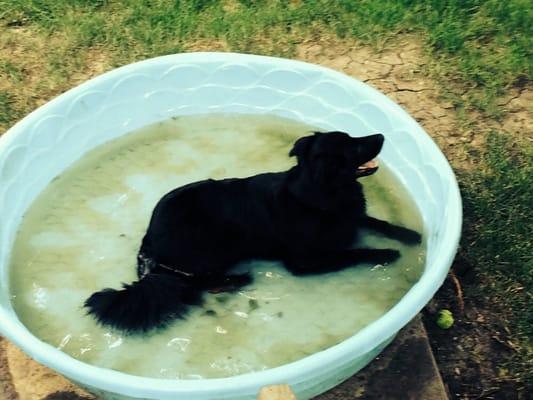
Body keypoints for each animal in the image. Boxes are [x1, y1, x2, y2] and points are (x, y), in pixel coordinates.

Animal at [86, 130, 420, 332]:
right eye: (354, 145)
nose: (381, 134)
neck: (317, 192)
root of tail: (149, 242)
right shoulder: (303, 262)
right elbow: (352, 252)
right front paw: (385, 253)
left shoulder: (349, 215)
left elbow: (374, 221)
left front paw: (409, 235)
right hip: (215, 245)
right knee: (196, 285)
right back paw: (238, 279)